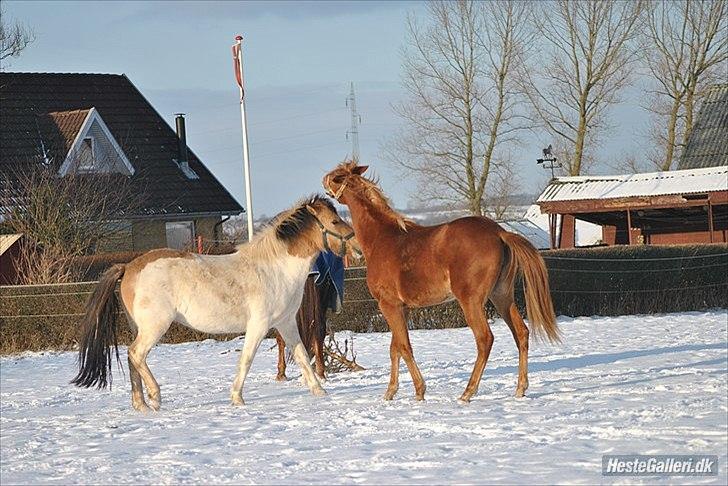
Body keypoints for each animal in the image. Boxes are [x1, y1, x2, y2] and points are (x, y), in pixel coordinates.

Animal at [71, 196, 362, 412]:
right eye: (334, 220)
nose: (359, 248)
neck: (275, 268)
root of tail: (129, 266)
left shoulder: (286, 324)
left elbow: (301, 355)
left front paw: (319, 390)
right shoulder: (259, 325)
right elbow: (246, 359)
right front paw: (237, 398)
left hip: (139, 327)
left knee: (133, 360)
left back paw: (140, 405)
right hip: (155, 326)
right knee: (136, 354)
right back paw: (155, 397)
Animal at [322, 161, 556, 400]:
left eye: (336, 176)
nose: (324, 181)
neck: (383, 238)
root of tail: (499, 233)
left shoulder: (389, 305)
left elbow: (404, 347)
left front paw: (419, 391)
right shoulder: (402, 308)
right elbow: (394, 348)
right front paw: (390, 393)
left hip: (471, 301)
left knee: (485, 339)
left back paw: (467, 393)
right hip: (501, 296)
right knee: (521, 333)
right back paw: (520, 389)